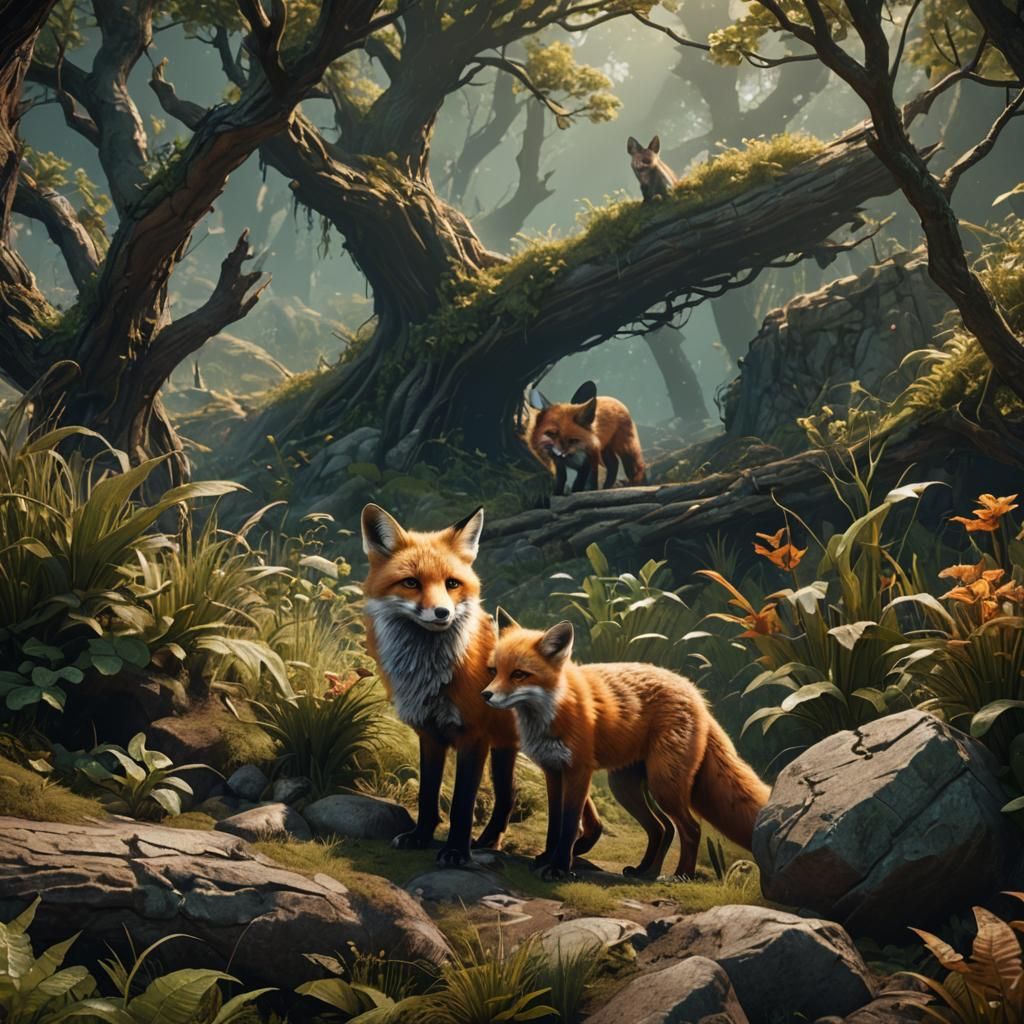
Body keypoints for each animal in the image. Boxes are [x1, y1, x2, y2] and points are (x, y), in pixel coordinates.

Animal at [360, 504, 606, 865]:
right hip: (505, 750)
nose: (442, 612)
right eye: (411, 583)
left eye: (452, 584)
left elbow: (462, 804)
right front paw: (420, 837)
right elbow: (427, 794)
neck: (432, 675)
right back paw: (493, 841)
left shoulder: (472, 736)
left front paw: (455, 852)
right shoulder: (429, 733)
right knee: (509, 799)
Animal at [482, 610, 771, 880]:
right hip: (626, 786)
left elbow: (569, 824)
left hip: (663, 784)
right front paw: (547, 858)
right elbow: (555, 823)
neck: (553, 710)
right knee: (661, 828)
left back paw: (680, 876)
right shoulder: (552, 770)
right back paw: (644, 871)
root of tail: (696, 695)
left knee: (690, 828)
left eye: (519, 674)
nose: (485, 695)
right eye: (494, 671)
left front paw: (559, 868)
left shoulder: (579, 771)